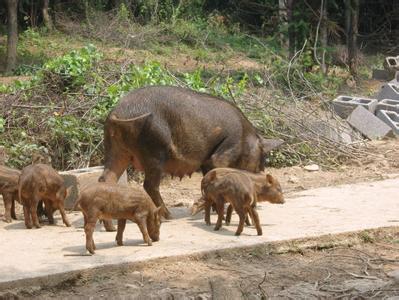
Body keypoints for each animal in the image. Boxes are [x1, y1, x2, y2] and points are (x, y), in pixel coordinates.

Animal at [100, 84, 284, 218]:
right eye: (260, 161)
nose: (261, 173)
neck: (246, 138)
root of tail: (119, 111)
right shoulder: (223, 153)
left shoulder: (206, 162)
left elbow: (210, 179)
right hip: (154, 149)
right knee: (149, 185)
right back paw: (168, 215)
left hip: (115, 148)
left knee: (106, 179)